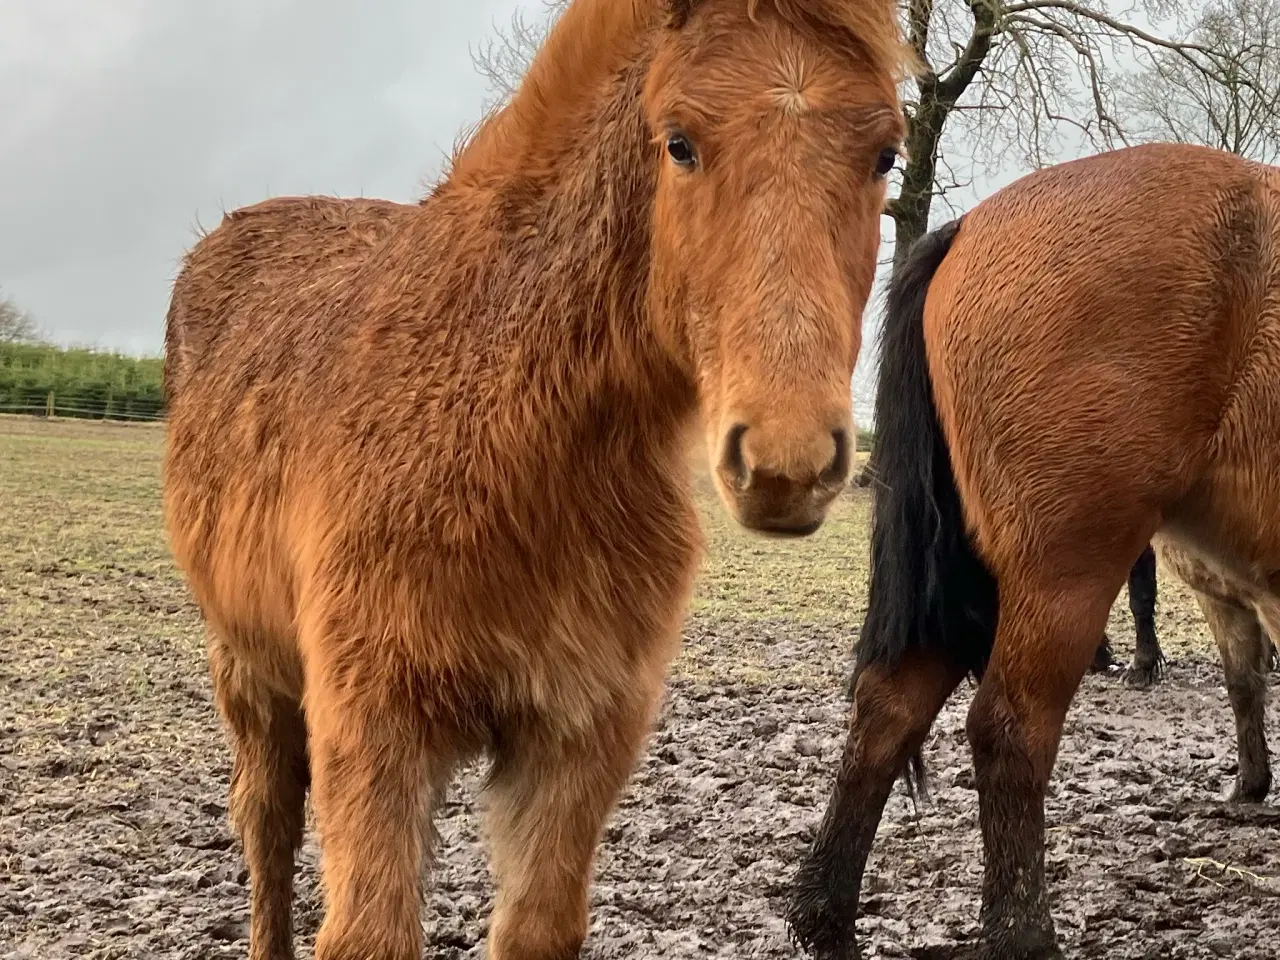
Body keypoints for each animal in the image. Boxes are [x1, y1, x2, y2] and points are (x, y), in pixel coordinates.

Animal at [160, 1, 911, 960]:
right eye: (679, 143)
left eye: (885, 154)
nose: (787, 463)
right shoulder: (373, 726)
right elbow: (368, 929)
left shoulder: (575, 738)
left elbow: (537, 925)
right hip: (247, 663)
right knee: (266, 826)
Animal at [783, 142, 1280, 960]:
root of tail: (971, 226)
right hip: (1064, 571)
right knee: (1009, 731)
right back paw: (1024, 933)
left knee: (888, 706)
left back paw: (825, 917)